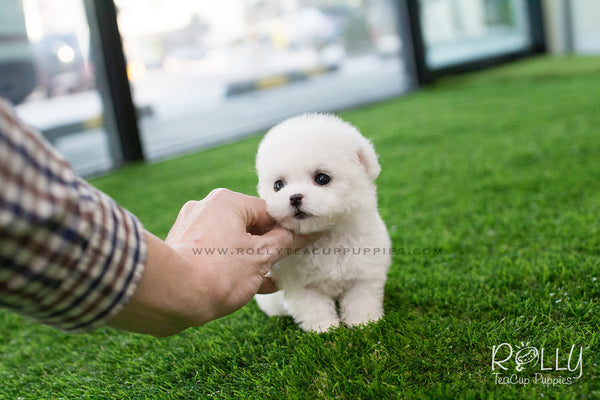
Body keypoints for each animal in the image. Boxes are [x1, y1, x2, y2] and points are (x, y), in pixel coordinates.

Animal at [254, 112, 392, 332]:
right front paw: (324, 330)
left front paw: (363, 323)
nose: (294, 197)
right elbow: (314, 307)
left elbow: (361, 299)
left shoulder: (365, 272)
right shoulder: (299, 285)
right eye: (278, 185)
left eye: (322, 178)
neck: (327, 237)